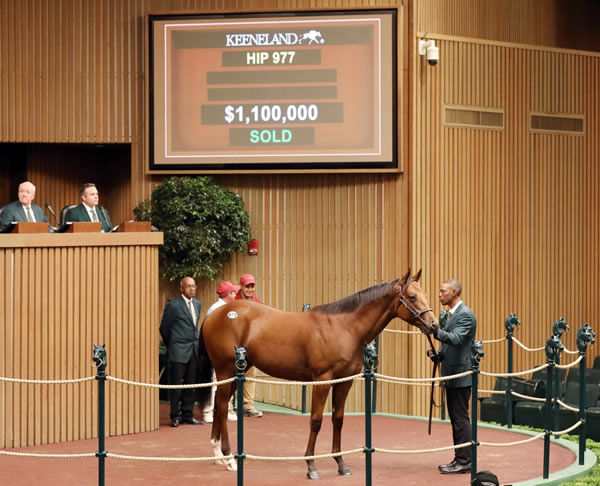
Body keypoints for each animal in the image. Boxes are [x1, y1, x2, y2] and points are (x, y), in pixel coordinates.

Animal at [197, 270, 436, 478]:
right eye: (412, 296)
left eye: (424, 293)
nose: (434, 325)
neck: (344, 327)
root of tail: (214, 315)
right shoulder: (322, 381)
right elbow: (316, 421)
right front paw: (311, 466)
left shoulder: (344, 382)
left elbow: (338, 420)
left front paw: (341, 464)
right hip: (226, 370)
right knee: (221, 406)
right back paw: (229, 458)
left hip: (239, 371)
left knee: (219, 407)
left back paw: (218, 454)